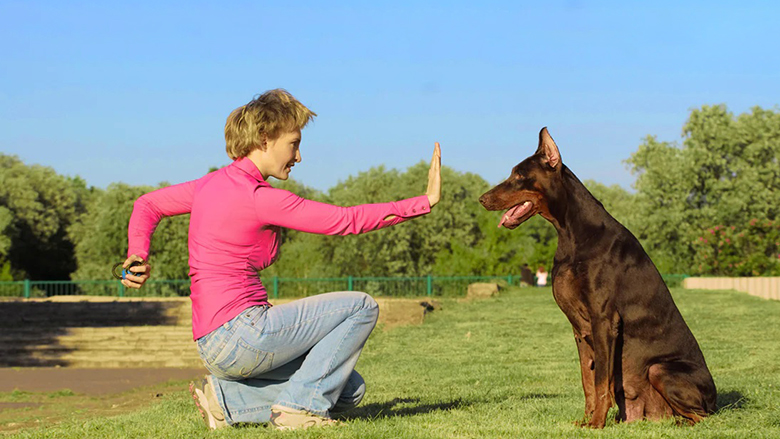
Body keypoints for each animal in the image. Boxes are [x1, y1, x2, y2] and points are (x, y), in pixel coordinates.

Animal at [482, 128, 720, 430]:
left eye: (519, 176)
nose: (482, 199)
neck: (571, 233)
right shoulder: (580, 330)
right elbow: (587, 381)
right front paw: (585, 420)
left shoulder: (604, 320)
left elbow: (600, 381)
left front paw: (595, 423)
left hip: (660, 369)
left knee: (703, 416)